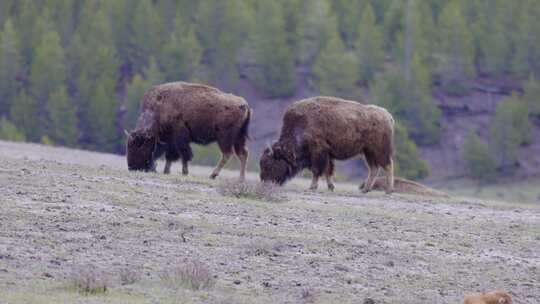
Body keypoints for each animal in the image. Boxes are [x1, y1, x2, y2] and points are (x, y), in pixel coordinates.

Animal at [260, 96, 394, 194]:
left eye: (269, 164)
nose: (264, 181)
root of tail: (387, 116)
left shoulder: (317, 152)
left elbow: (316, 170)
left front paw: (312, 187)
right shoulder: (326, 154)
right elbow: (328, 170)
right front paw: (331, 187)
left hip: (379, 150)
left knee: (388, 165)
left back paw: (388, 190)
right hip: (368, 152)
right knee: (374, 168)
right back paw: (366, 189)